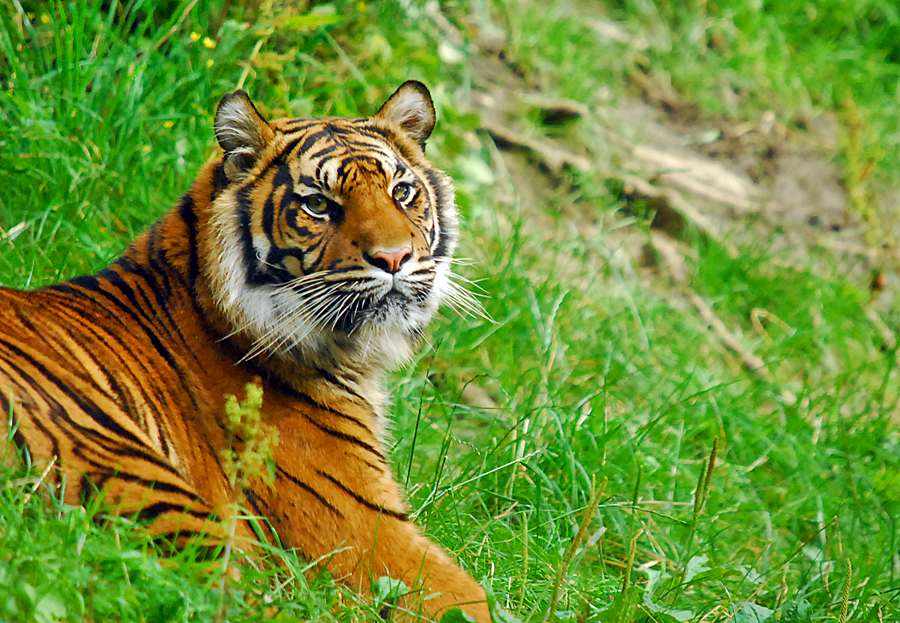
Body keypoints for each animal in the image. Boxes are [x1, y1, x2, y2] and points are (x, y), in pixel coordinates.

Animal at [0, 81, 490, 622]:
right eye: (318, 205)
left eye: (402, 192)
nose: (395, 258)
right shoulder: (366, 533)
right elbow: (476, 598)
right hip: (130, 469)